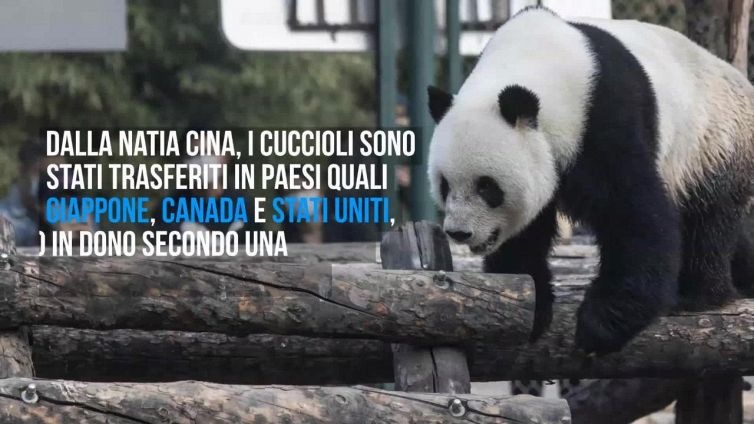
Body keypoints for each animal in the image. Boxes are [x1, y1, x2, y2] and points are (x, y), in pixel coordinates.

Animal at [427, 6, 754, 353]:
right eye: (445, 185)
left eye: (487, 187)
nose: (459, 232)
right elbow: (527, 231)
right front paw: (531, 305)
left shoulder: (603, 117)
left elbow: (636, 212)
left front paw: (600, 324)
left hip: (711, 145)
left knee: (708, 222)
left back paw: (695, 295)